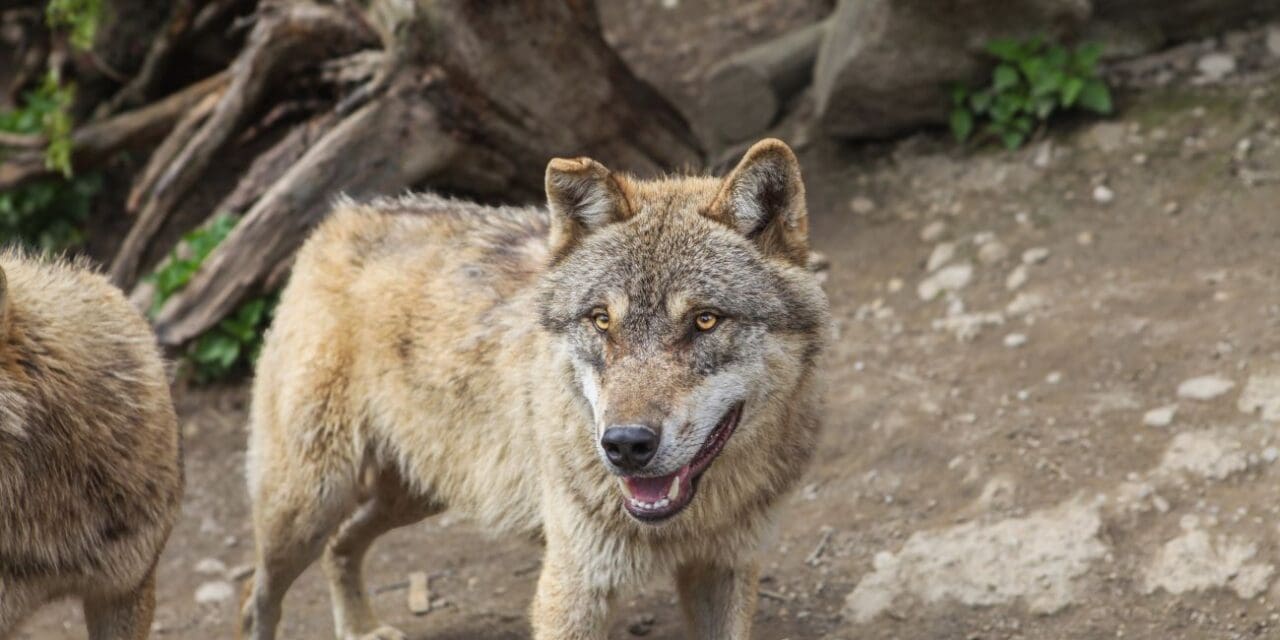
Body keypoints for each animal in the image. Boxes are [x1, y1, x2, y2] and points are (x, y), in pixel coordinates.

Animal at [239, 138, 829, 639]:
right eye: (601, 320)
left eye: (705, 320)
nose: (625, 445)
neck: (689, 522)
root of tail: (339, 218)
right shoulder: (573, 585)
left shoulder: (725, 568)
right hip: (307, 506)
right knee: (257, 596)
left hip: (417, 492)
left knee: (341, 546)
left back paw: (361, 629)